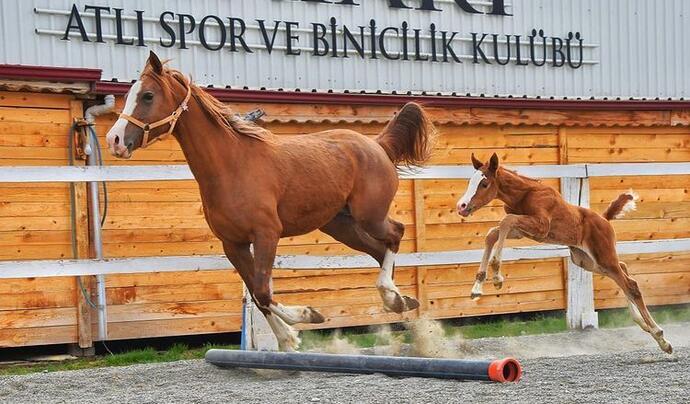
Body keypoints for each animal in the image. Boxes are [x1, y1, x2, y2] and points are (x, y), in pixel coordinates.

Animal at [105, 52, 432, 350]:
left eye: (147, 95)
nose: (114, 141)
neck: (232, 166)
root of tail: (376, 144)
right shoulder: (233, 244)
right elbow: (258, 295)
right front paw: (288, 340)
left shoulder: (266, 234)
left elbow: (263, 291)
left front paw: (307, 316)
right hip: (341, 225)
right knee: (379, 250)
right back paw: (400, 301)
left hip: (369, 216)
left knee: (396, 233)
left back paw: (393, 297)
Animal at [454, 154, 668, 354]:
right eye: (470, 181)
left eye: (484, 183)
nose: (461, 207)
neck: (524, 194)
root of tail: (604, 219)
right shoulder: (524, 231)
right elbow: (493, 233)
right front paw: (477, 288)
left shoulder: (540, 226)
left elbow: (506, 221)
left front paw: (497, 275)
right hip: (588, 261)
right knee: (622, 273)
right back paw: (646, 327)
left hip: (603, 256)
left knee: (631, 284)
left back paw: (661, 336)